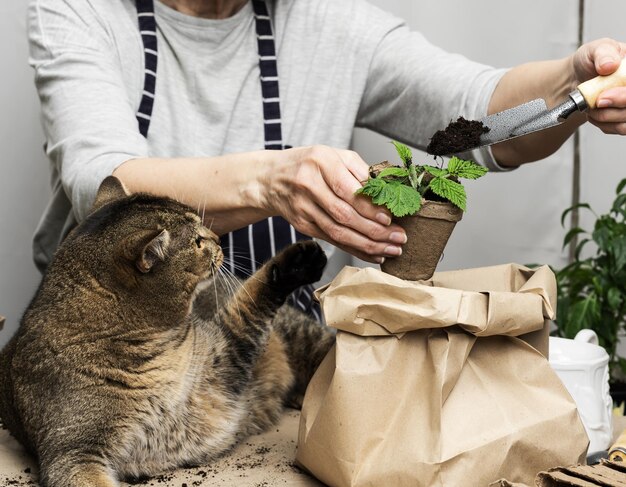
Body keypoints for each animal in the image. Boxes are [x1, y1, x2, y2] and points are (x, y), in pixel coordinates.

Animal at [0, 177, 332, 486]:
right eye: (197, 242)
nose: (218, 239)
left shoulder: (222, 358)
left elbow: (253, 294)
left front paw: (298, 262)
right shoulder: (72, 455)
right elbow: (251, 302)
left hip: (304, 337)